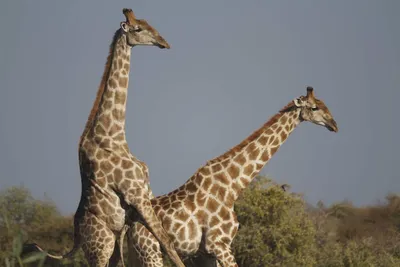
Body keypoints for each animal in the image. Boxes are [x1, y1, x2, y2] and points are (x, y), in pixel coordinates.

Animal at [25, 8, 185, 267]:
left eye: (148, 23)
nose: (164, 42)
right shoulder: (135, 194)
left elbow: (159, 243)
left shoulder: (145, 193)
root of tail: (77, 237)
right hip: (100, 247)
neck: (114, 136)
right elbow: (167, 244)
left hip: (113, 243)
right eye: (138, 28)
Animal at [127, 87, 338, 266]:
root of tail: (130, 225)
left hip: (139, 254)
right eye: (314, 107)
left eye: (324, 103)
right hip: (150, 250)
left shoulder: (207, 252)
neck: (232, 186)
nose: (334, 125)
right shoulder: (219, 244)